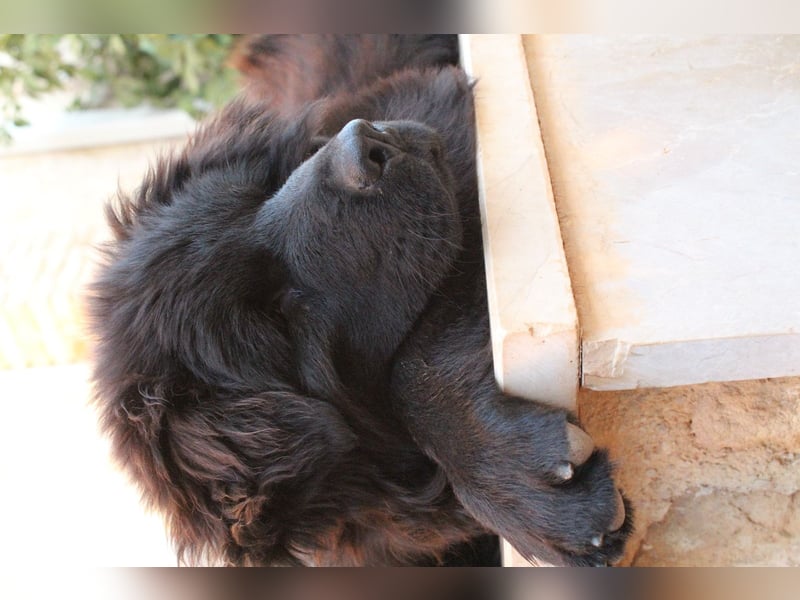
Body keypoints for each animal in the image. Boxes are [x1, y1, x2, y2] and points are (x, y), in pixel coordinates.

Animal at [92, 35, 632, 564]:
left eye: (266, 187)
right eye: (278, 317)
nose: (363, 141)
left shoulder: (445, 115)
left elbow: (415, 363)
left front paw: (517, 489)